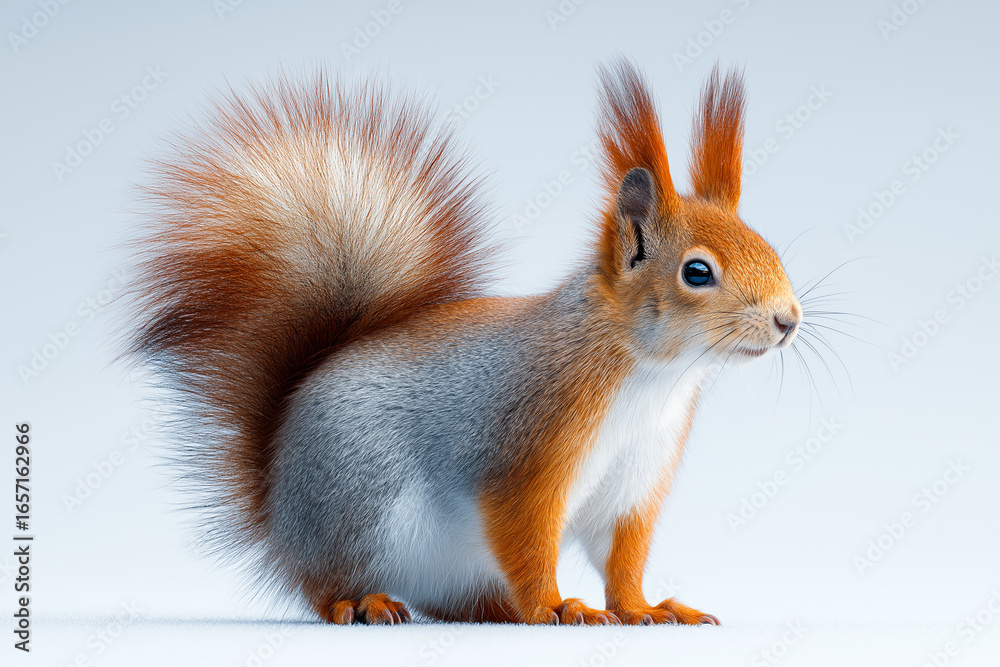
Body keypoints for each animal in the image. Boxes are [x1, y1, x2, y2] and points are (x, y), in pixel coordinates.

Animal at [125, 59, 802, 626]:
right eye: (697, 272)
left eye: (766, 243)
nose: (788, 320)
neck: (651, 375)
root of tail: (277, 509)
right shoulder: (530, 448)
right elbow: (526, 535)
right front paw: (556, 607)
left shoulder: (635, 482)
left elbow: (623, 557)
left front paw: (645, 610)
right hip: (360, 503)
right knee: (325, 584)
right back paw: (364, 602)